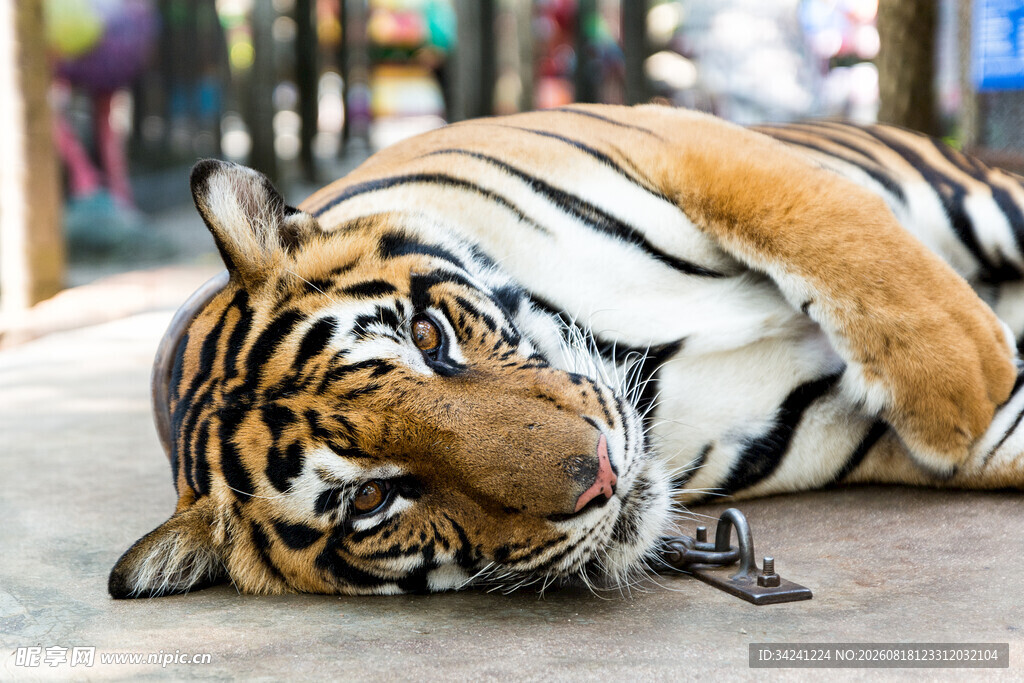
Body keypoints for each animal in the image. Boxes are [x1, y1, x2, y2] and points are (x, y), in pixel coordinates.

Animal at [108, 104, 1024, 599]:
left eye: (428, 336)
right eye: (372, 499)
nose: (603, 476)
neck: (639, 363)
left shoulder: (673, 140)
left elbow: (836, 231)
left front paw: (965, 387)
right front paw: (978, 400)